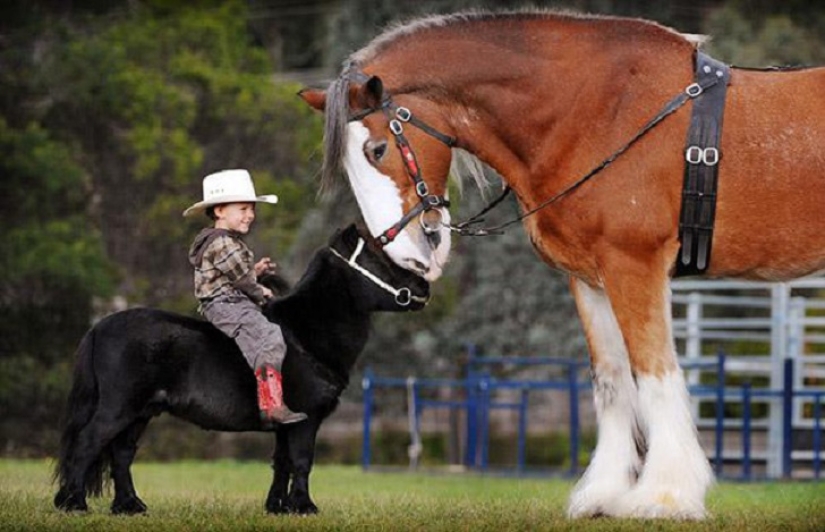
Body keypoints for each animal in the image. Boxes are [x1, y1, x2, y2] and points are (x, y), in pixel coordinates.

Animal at [53, 223, 429, 515]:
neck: (305, 333)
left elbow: (282, 462)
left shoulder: (286, 422)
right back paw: (74, 504)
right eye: (378, 260)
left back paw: (129, 506)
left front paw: (278, 507)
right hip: (119, 407)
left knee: (121, 453)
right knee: (87, 443)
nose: (423, 288)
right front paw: (305, 506)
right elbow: (302, 461)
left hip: (141, 412)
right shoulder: (307, 419)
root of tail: (99, 327)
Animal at [299, 10, 825, 519]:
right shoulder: (590, 280)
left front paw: (665, 497)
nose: (407, 252)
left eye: (378, 149)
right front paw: (606, 494)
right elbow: (612, 381)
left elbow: (654, 373)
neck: (598, 111)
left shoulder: (634, 265)